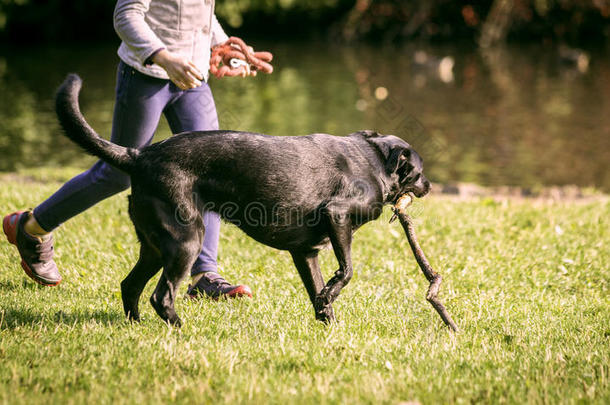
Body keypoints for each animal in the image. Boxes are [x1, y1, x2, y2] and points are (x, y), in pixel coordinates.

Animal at [55, 74, 428, 324]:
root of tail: (138, 156)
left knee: (129, 285)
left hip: (155, 245)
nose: (429, 186)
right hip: (186, 240)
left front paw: (330, 324)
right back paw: (179, 328)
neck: (375, 160)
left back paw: (136, 325)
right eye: (420, 172)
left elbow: (319, 293)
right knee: (161, 296)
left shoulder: (306, 253)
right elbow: (347, 269)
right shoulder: (337, 216)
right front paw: (332, 296)